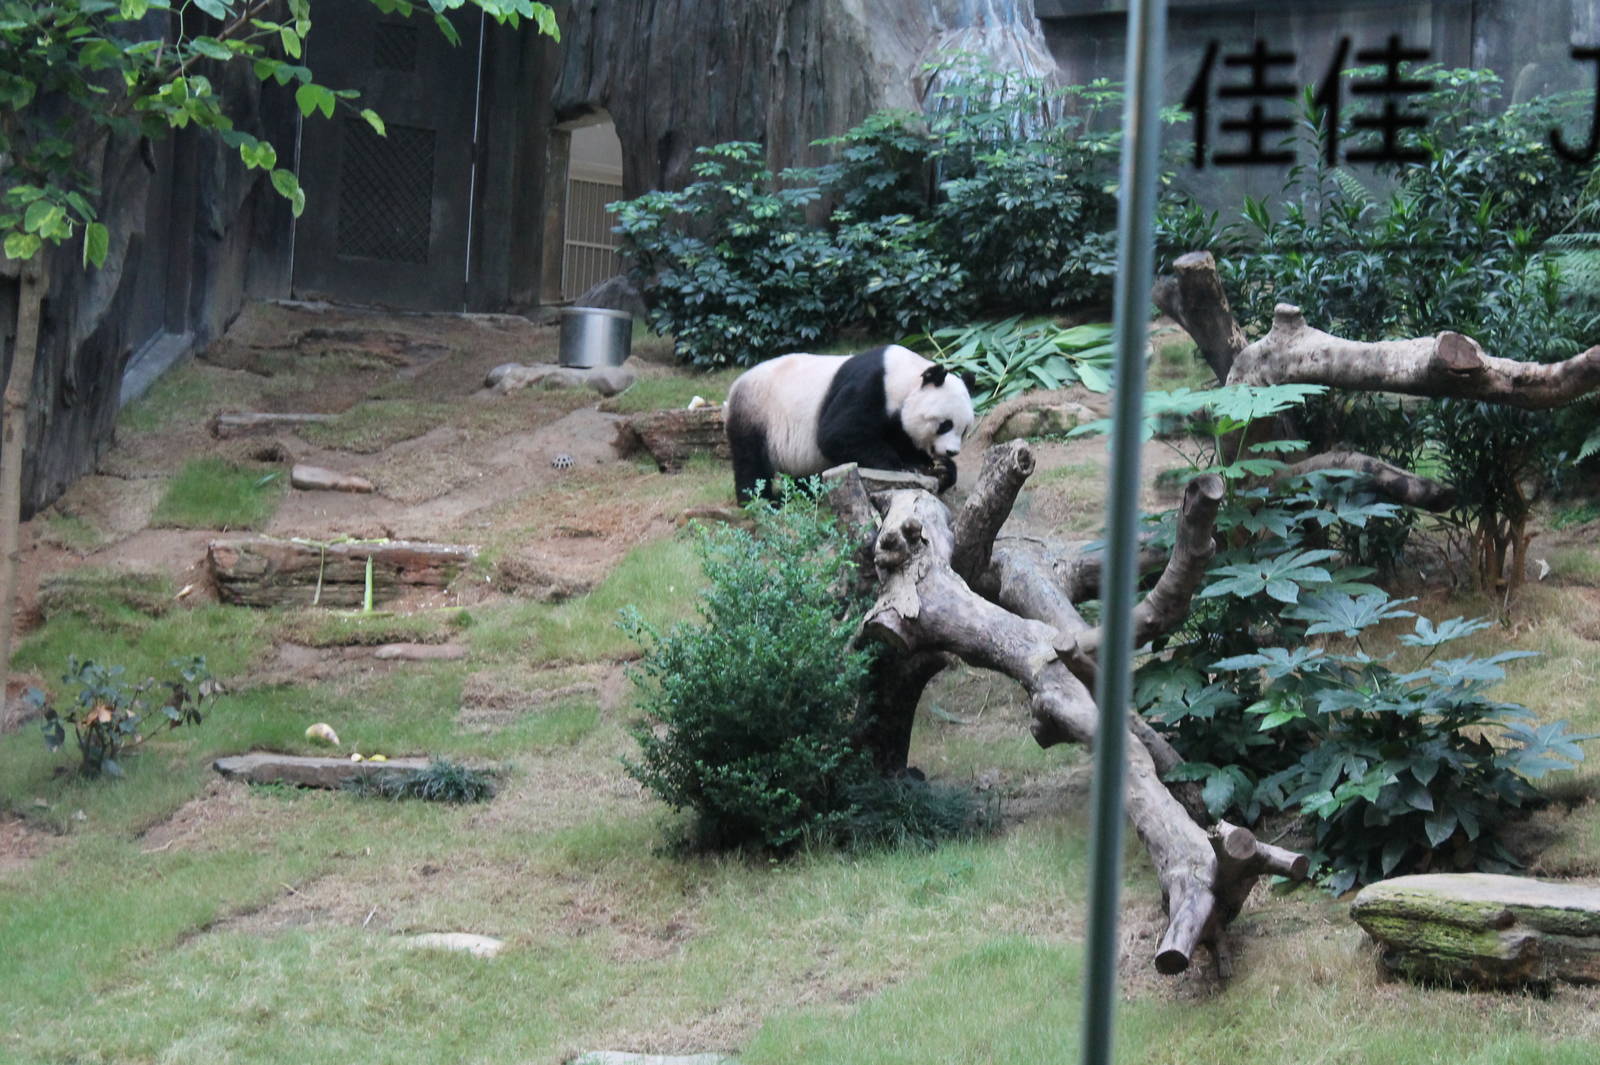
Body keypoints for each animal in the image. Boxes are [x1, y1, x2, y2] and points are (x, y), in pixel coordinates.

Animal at [724, 344, 976, 503]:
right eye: (945, 424)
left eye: (964, 430)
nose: (952, 451)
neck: (906, 376)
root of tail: (737, 383)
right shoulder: (871, 387)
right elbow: (837, 434)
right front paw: (904, 467)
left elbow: (902, 438)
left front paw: (941, 469)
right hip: (756, 412)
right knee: (751, 460)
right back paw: (761, 501)